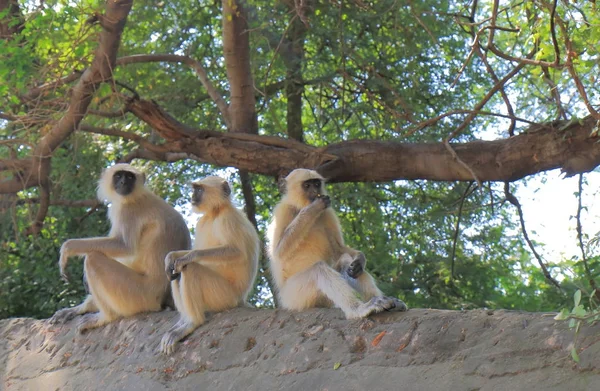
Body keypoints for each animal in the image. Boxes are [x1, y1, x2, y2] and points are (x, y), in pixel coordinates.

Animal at [53, 164, 191, 332]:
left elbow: (124, 246)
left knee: (92, 259)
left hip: (140, 295)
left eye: (130, 177)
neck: (136, 195)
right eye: (119, 176)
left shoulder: (128, 211)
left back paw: (105, 318)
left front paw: (67, 248)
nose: (124, 182)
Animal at [159, 177, 260, 356]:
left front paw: (189, 257)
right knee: (175, 274)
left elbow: (236, 252)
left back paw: (192, 322)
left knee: (189, 269)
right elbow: (175, 261)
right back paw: (183, 322)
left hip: (224, 297)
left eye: (199, 190)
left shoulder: (228, 218)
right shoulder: (203, 222)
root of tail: (240, 299)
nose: (192, 196)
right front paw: (170, 256)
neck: (215, 212)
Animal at [268, 168, 408, 318]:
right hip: (295, 297)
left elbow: (338, 249)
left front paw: (360, 259)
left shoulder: (327, 213)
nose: (315, 191)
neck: (299, 207)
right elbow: (278, 252)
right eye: (307, 185)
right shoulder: (282, 211)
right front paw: (314, 207)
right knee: (319, 270)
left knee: (346, 263)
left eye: (316, 184)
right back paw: (358, 310)